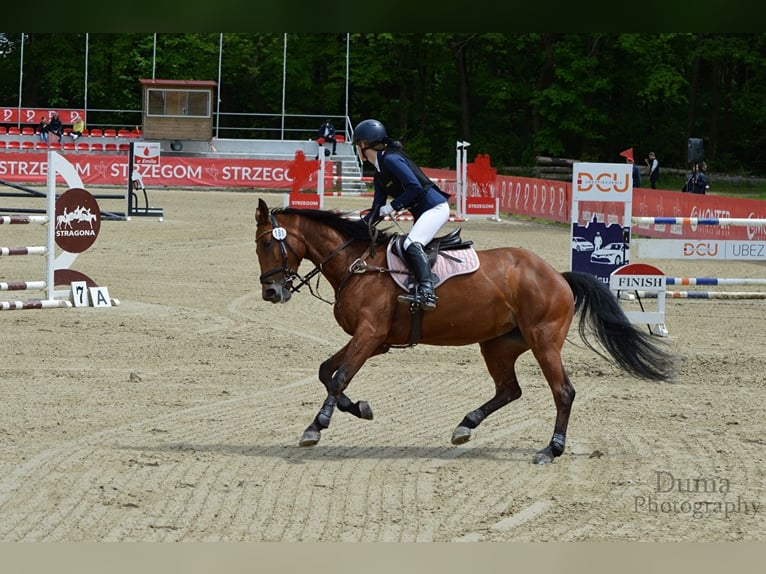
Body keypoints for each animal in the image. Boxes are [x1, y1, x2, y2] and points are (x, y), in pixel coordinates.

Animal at [255, 197, 676, 464]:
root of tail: (558, 276)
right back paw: (465, 425)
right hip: (498, 345)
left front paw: (316, 427)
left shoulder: (370, 334)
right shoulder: (375, 341)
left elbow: (340, 375)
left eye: (265, 244)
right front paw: (359, 408)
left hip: (543, 342)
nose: (271, 292)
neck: (356, 263)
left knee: (563, 392)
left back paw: (550, 449)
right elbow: (327, 373)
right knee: (509, 389)